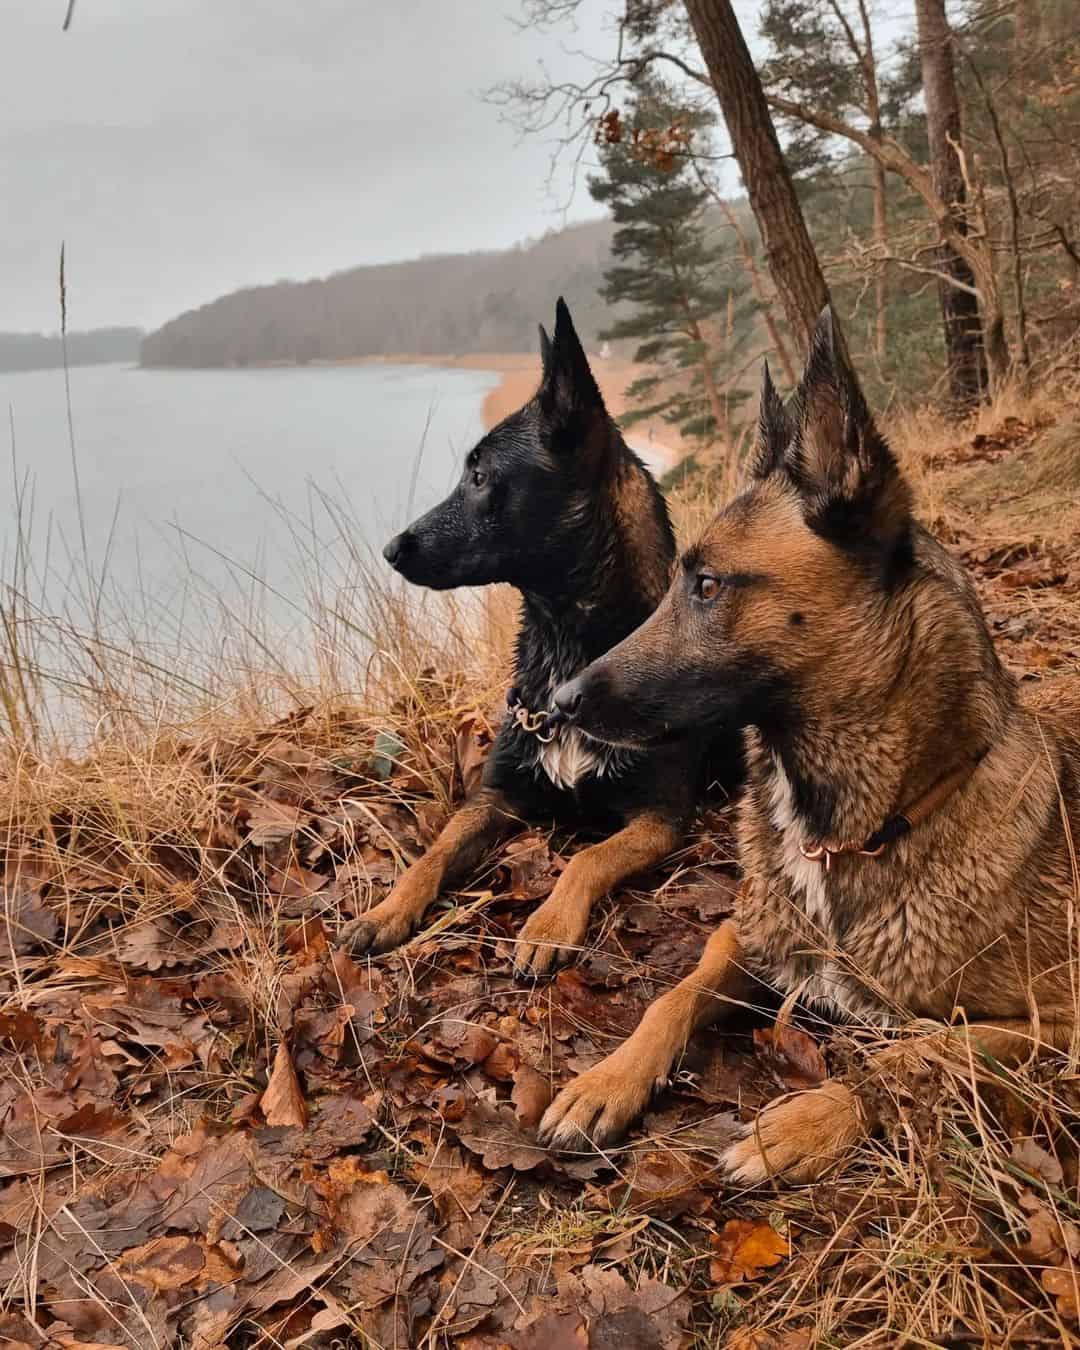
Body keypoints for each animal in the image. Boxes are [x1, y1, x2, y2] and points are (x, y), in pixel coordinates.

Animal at [340, 298, 745, 972]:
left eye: (481, 477)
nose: (391, 549)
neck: (565, 643)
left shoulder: (659, 817)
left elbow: (588, 857)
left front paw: (549, 923)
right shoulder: (493, 795)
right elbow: (433, 852)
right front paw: (386, 910)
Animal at [534, 313, 1074, 1182]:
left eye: (708, 586)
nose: (561, 703)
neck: (855, 830)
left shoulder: (1055, 1022)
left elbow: (916, 1055)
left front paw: (799, 1124)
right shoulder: (746, 933)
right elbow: (672, 994)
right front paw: (607, 1080)